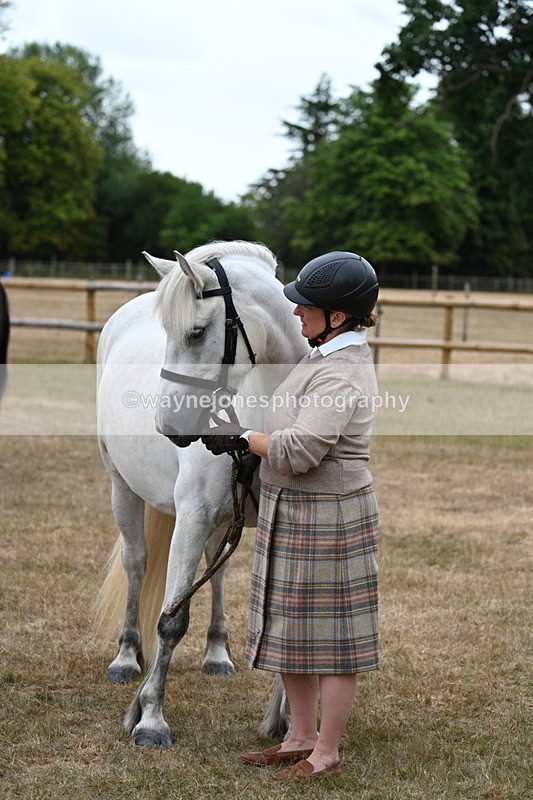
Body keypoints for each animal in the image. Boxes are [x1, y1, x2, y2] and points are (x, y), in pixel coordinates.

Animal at [95, 240, 308, 747]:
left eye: (195, 333)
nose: (168, 427)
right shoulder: (192, 516)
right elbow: (171, 619)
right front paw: (150, 719)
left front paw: (289, 721)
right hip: (121, 487)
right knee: (137, 563)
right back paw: (127, 657)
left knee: (217, 570)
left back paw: (216, 653)